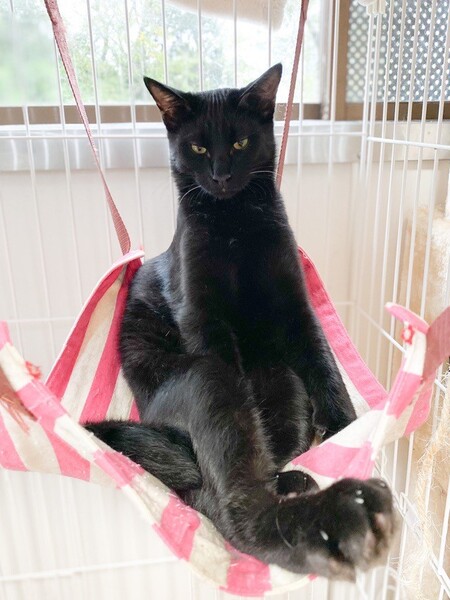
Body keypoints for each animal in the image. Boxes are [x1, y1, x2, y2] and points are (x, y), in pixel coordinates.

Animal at [86, 64, 395, 580]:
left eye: (239, 142)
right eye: (197, 147)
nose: (220, 174)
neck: (236, 224)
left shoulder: (297, 308)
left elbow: (326, 366)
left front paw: (345, 431)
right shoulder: (203, 320)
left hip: (281, 381)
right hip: (207, 381)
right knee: (229, 504)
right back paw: (336, 517)